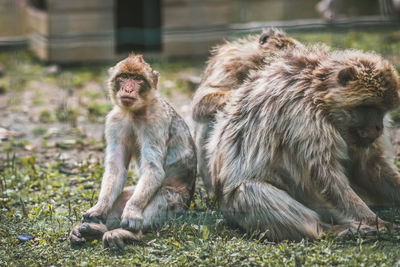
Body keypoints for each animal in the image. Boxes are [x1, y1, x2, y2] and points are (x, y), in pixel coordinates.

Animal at [206, 45, 400, 242]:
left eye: (382, 111)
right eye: (369, 107)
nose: (379, 127)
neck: (319, 95)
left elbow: (366, 166)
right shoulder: (303, 118)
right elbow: (324, 179)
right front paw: (376, 222)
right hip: (235, 209)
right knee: (251, 189)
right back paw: (326, 230)